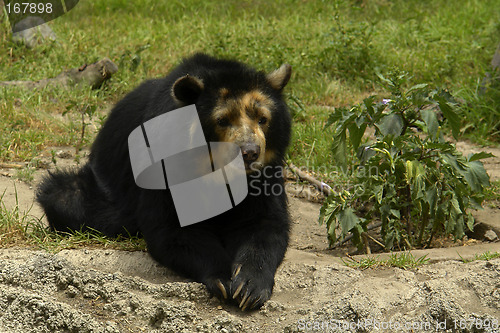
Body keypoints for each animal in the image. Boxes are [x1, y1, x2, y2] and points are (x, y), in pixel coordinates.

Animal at [38, 53, 292, 310]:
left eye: (263, 119)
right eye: (222, 120)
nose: (250, 152)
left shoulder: (266, 171)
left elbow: (265, 223)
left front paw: (249, 287)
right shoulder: (165, 162)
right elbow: (169, 228)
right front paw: (223, 279)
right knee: (65, 196)